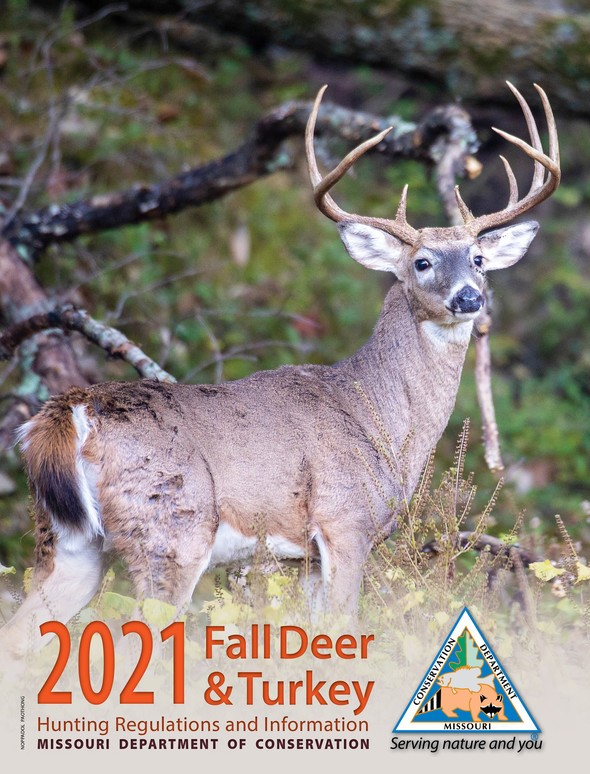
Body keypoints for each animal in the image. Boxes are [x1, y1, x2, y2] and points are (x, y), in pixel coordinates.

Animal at [0, 82, 559, 661]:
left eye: (478, 259)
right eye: (422, 262)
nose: (470, 297)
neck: (382, 417)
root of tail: (68, 412)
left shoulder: (307, 555)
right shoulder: (345, 522)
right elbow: (346, 625)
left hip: (68, 541)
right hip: (171, 529)